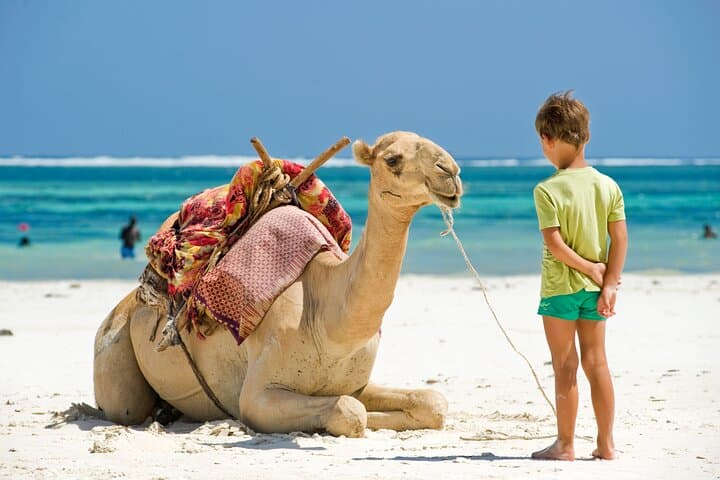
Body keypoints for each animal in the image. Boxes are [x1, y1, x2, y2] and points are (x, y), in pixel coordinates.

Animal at [93, 131, 463, 437]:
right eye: (393, 159)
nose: (452, 172)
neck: (328, 320)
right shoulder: (258, 396)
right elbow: (351, 411)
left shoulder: (357, 382)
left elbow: (431, 402)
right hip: (114, 352)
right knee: (124, 407)